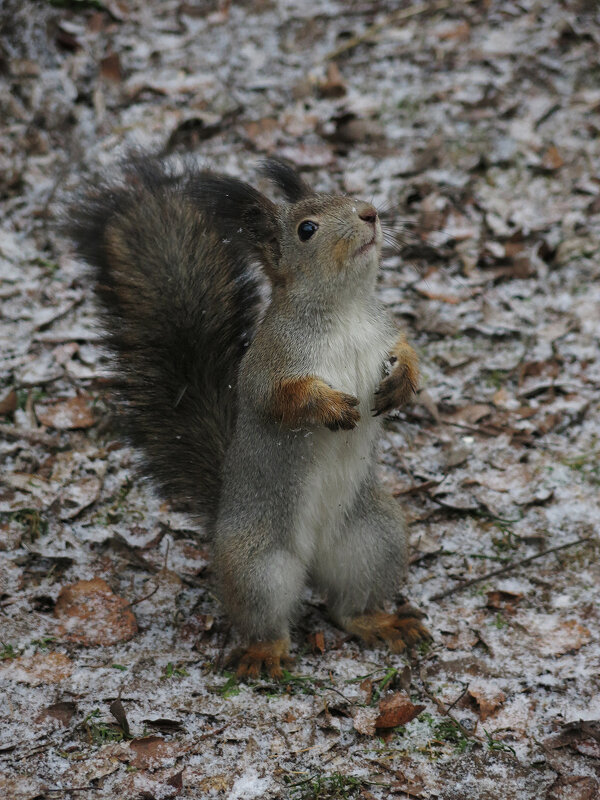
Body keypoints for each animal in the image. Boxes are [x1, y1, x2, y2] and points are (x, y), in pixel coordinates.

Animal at [68, 153, 428, 680]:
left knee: (347, 608)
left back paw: (379, 622)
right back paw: (264, 652)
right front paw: (328, 406)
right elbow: (280, 400)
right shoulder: (269, 364)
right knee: (266, 618)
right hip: (257, 564)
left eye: (347, 196)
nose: (369, 213)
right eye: (306, 229)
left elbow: (407, 350)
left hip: (374, 538)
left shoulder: (384, 331)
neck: (344, 310)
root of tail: (313, 561)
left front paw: (403, 380)